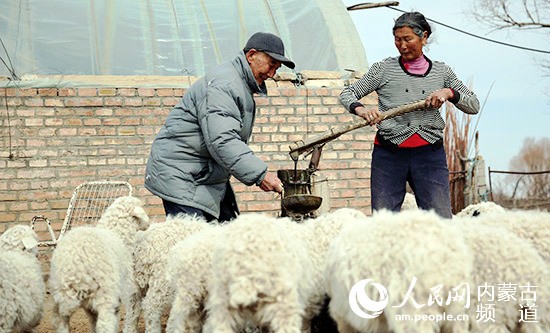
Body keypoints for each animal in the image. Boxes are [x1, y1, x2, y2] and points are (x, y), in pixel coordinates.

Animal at [47, 195, 150, 332]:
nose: (149, 223)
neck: (116, 233)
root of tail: (74, 267)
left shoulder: (90, 307)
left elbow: (92, 322)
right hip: (105, 294)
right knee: (105, 324)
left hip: (59, 295)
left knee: (60, 322)